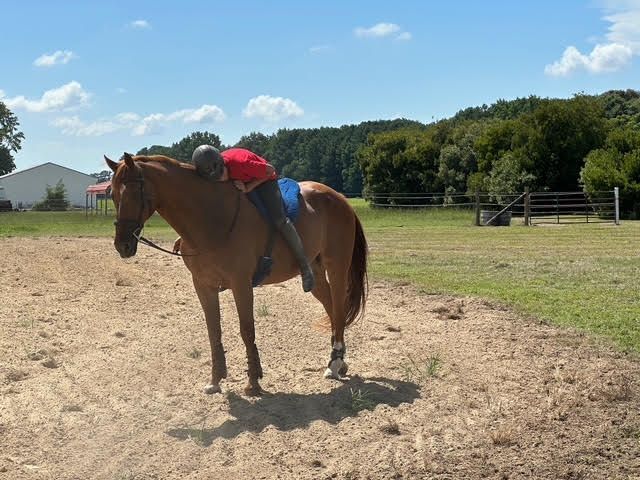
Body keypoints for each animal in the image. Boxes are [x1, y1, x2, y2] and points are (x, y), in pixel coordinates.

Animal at [105, 153, 368, 396]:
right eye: (113, 195)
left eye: (132, 193)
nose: (122, 245)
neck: (211, 219)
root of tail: (340, 199)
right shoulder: (203, 285)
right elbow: (214, 330)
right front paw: (215, 380)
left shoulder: (241, 284)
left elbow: (247, 330)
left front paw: (253, 382)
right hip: (315, 272)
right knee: (331, 308)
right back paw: (336, 361)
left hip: (337, 267)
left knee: (338, 307)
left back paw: (336, 362)